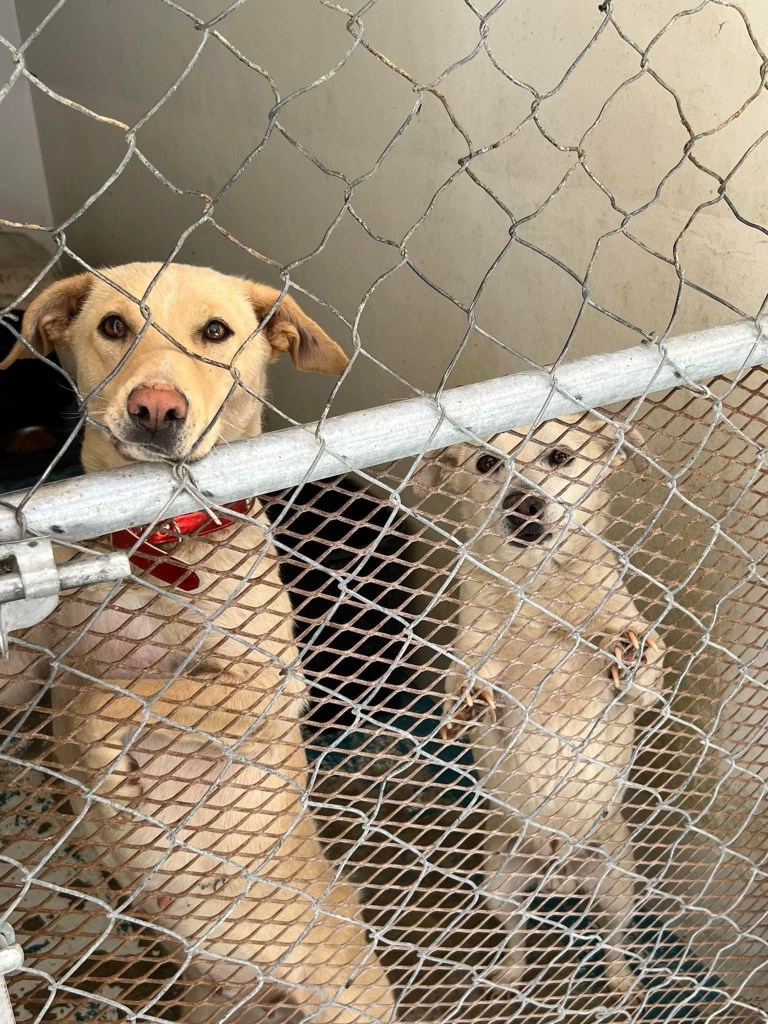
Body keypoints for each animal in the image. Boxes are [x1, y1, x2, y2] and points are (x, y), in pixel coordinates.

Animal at [0, 263, 395, 1023]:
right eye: (114, 326)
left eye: (216, 331)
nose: (155, 409)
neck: (157, 542)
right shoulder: (29, 668)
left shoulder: (268, 688)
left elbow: (114, 695)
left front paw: (108, 768)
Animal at [413, 414, 666, 1000]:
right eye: (486, 463)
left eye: (559, 456)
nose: (523, 504)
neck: (539, 585)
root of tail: (560, 875)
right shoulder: (476, 671)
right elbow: (466, 688)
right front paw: (470, 697)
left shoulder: (640, 690)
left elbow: (640, 670)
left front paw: (634, 651)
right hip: (501, 883)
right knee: (517, 933)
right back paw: (510, 971)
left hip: (618, 884)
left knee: (614, 940)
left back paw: (623, 983)